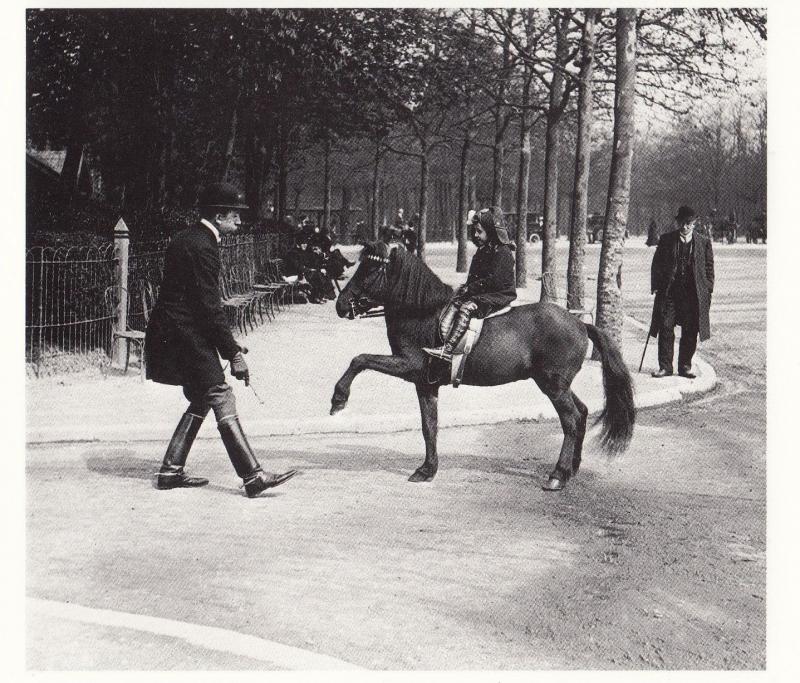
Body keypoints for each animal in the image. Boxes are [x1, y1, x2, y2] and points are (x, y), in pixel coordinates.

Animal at [328, 243, 636, 488]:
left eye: (369, 270)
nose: (341, 305)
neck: (422, 312)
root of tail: (580, 323)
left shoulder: (408, 366)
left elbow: (360, 359)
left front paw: (338, 399)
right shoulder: (425, 383)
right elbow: (430, 426)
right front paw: (427, 469)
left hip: (553, 385)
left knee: (571, 420)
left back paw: (558, 475)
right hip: (556, 383)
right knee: (582, 413)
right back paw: (572, 469)